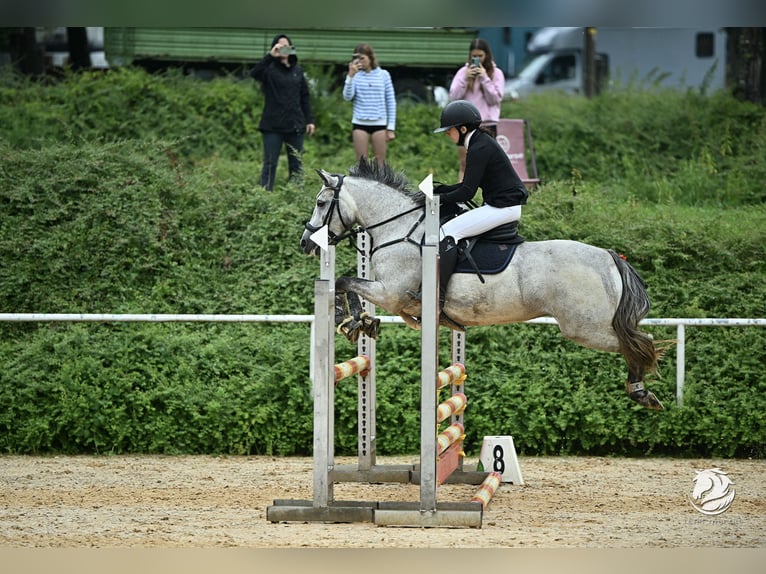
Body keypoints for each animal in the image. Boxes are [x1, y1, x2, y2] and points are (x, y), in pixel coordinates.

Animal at [300, 159, 664, 410]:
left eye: (320, 203)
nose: (306, 242)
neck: (399, 228)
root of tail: (609, 256)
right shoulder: (395, 299)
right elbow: (351, 285)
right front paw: (361, 322)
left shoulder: (390, 293)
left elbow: (344, 281)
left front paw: (347, 321)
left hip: (583, 327)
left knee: (638, 344)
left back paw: (641, 391)